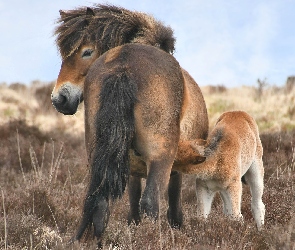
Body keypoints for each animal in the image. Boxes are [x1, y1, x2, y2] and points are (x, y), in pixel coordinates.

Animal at [50, 4, 208, 246]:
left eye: (86, 51)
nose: (60, 99)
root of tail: (123, 65)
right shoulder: (173, 168)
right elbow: (171, 204)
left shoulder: (131, 169)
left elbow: (132, 206)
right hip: (161, 157)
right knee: (151, 203)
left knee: (98, 202)